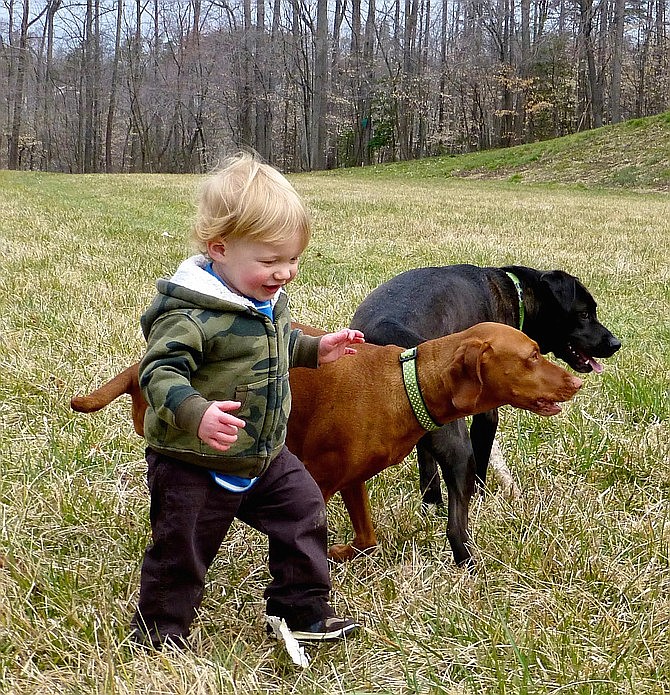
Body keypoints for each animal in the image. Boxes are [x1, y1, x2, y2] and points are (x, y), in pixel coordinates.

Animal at [71, 324, 580, 564]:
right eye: (533, 356)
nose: (576, 382)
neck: (405, 383)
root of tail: (142, 363)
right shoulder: (318, 481)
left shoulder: (353, 479)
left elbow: (368, 540)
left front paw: (345, 552)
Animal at [352, 264, 624, 568]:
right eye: (584, 314)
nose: (615, 343)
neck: (516, 293)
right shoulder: (486, 417)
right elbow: (482, 466)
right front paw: (483, 501)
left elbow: (427, 469)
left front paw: (431, 506)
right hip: (459, 450)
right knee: (456, 527)